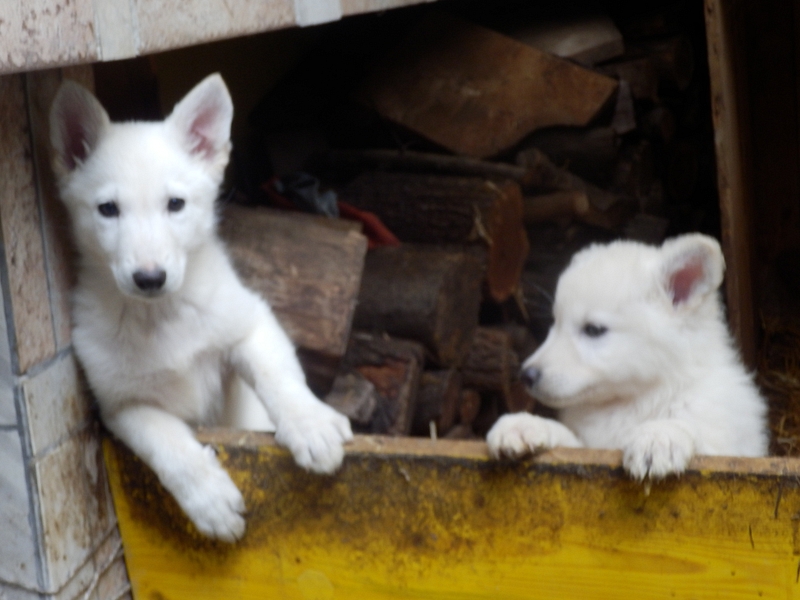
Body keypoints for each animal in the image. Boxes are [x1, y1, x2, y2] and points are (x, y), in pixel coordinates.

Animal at [49, 74, 353, 541]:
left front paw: (311, 425)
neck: (161, 316)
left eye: (175, 204)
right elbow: (171, 448)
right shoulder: (124, 404)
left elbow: (279, 379)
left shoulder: (250, 324)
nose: (150, 278)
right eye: (108, 210)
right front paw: (209, 500)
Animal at [487, 234, 768, 480]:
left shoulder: (733, 451)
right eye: (555, 323)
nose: (526, 375)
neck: (638, 400)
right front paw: (525, 426)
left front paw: (659, 436)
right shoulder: (590, 450)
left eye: (593, 330)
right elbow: (570, 441)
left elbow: (693, 432)